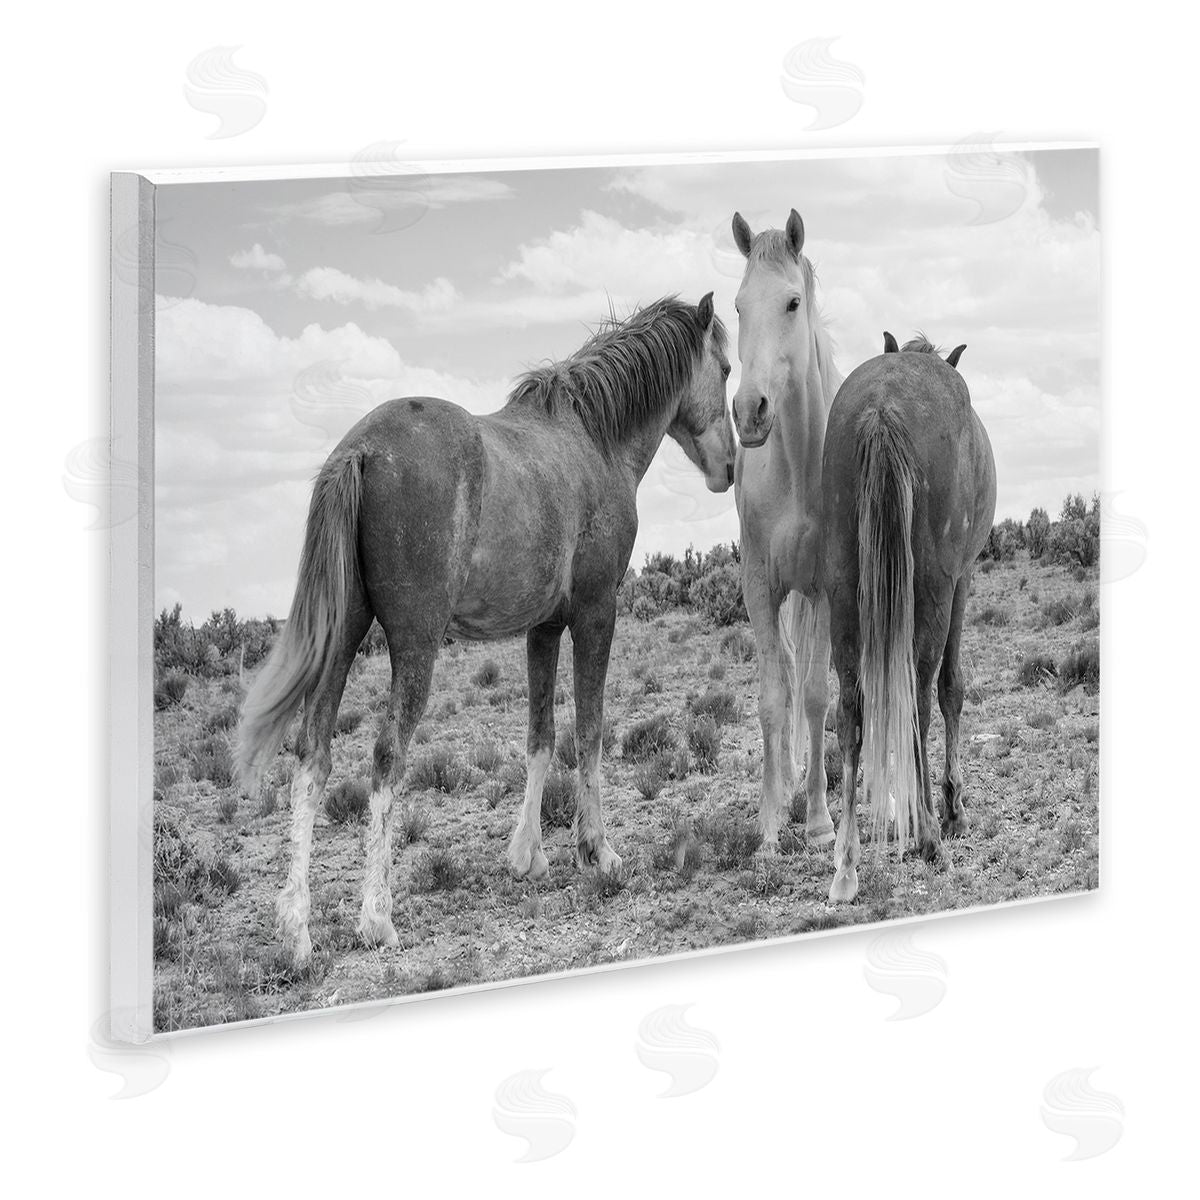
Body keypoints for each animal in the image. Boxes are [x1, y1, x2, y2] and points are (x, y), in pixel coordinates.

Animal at [236, 294, 735, 965]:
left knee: (313, 753)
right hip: (415, 646)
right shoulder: (596, 613)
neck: (593, 440)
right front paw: (597, 852)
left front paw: (528, 856)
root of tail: (357, 452)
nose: (728, 467)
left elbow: (540, 738)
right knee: (387, 756)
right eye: (727, 369)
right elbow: (591, 732)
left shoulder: (543, 629)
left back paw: (297, 928)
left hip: (342, 640)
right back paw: (376, 917)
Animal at [820, 333, 996, 902]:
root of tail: (882, 407)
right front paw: (953, 808)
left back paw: (846, 864)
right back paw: (929, 837)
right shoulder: (961, 580)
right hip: (935, 589)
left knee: (850, 711)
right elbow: (951, 687)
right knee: (919, 697)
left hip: (842, 589)